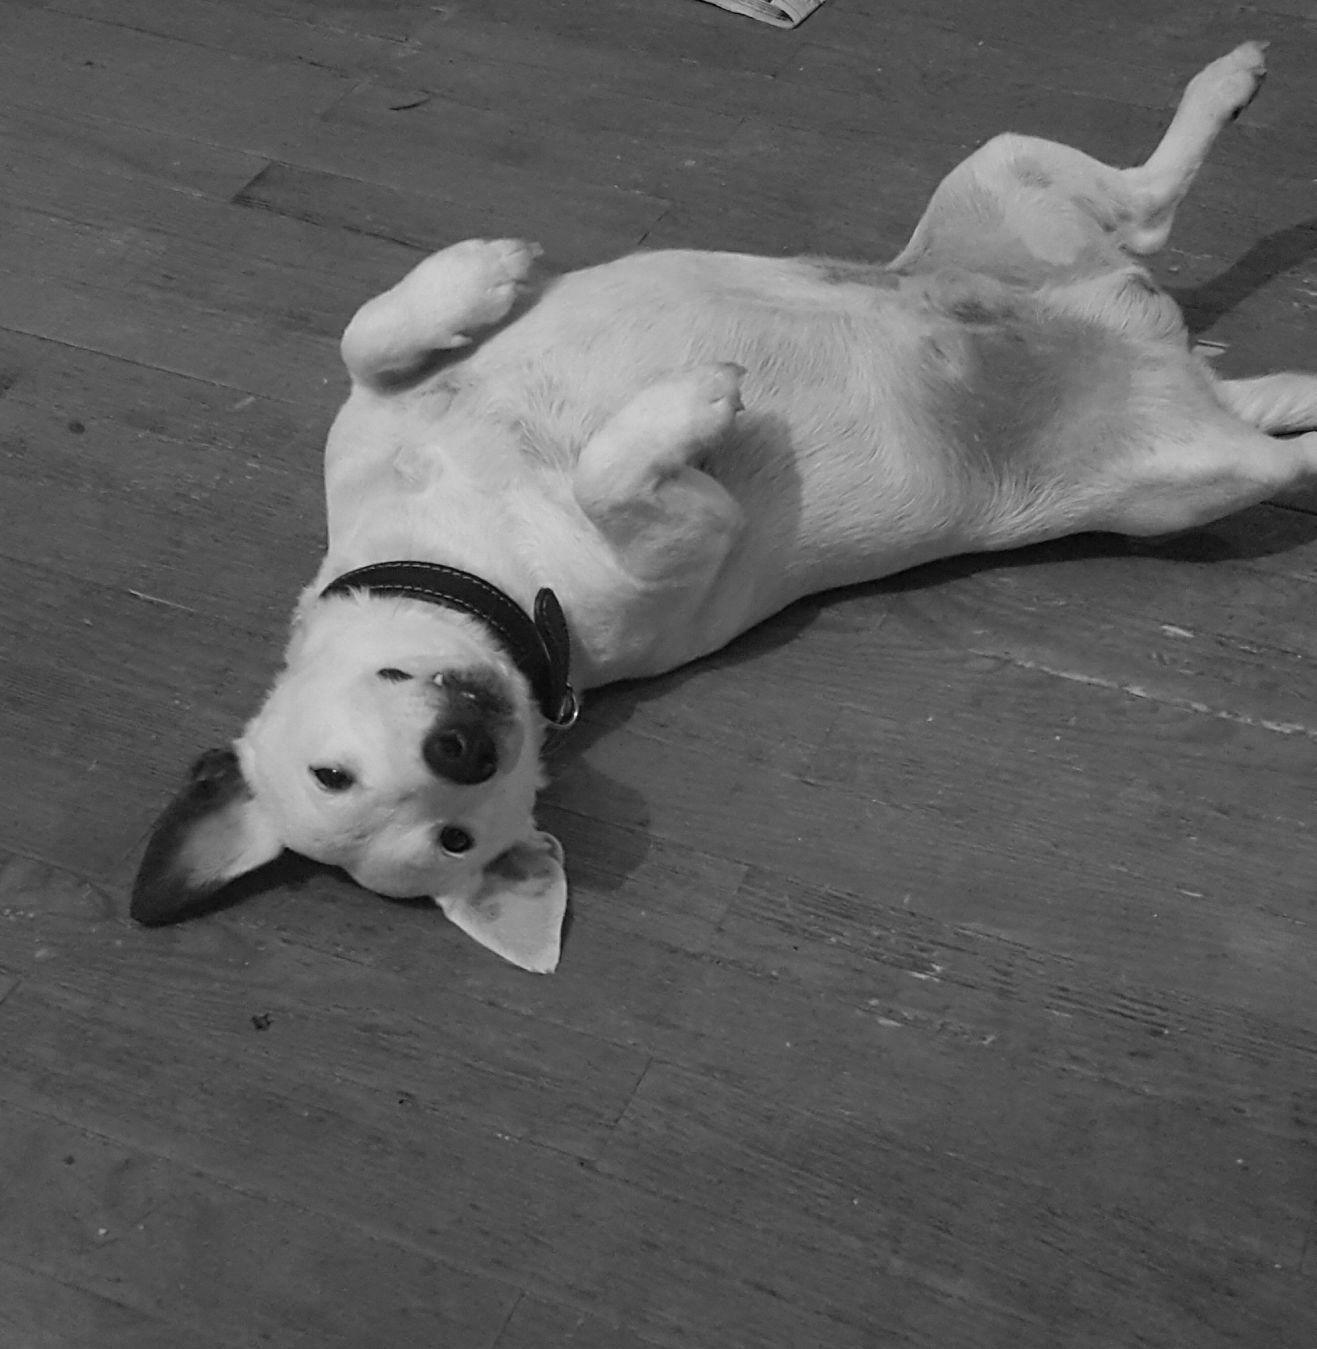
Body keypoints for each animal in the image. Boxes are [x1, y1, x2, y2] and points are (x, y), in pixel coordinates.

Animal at [132, 44, 1317, 971]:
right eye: (452, 841)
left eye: (331, 768)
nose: (463, 746)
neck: (483, 566)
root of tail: (1158, 351)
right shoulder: (691, 532)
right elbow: (618, 473)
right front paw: (695, 402)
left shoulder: (379, 415)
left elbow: (367, 335)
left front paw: (481, 275)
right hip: (1188, 478)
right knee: (1267, 425)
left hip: (1003, 170)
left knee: (1149, 211)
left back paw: (1228, 83)